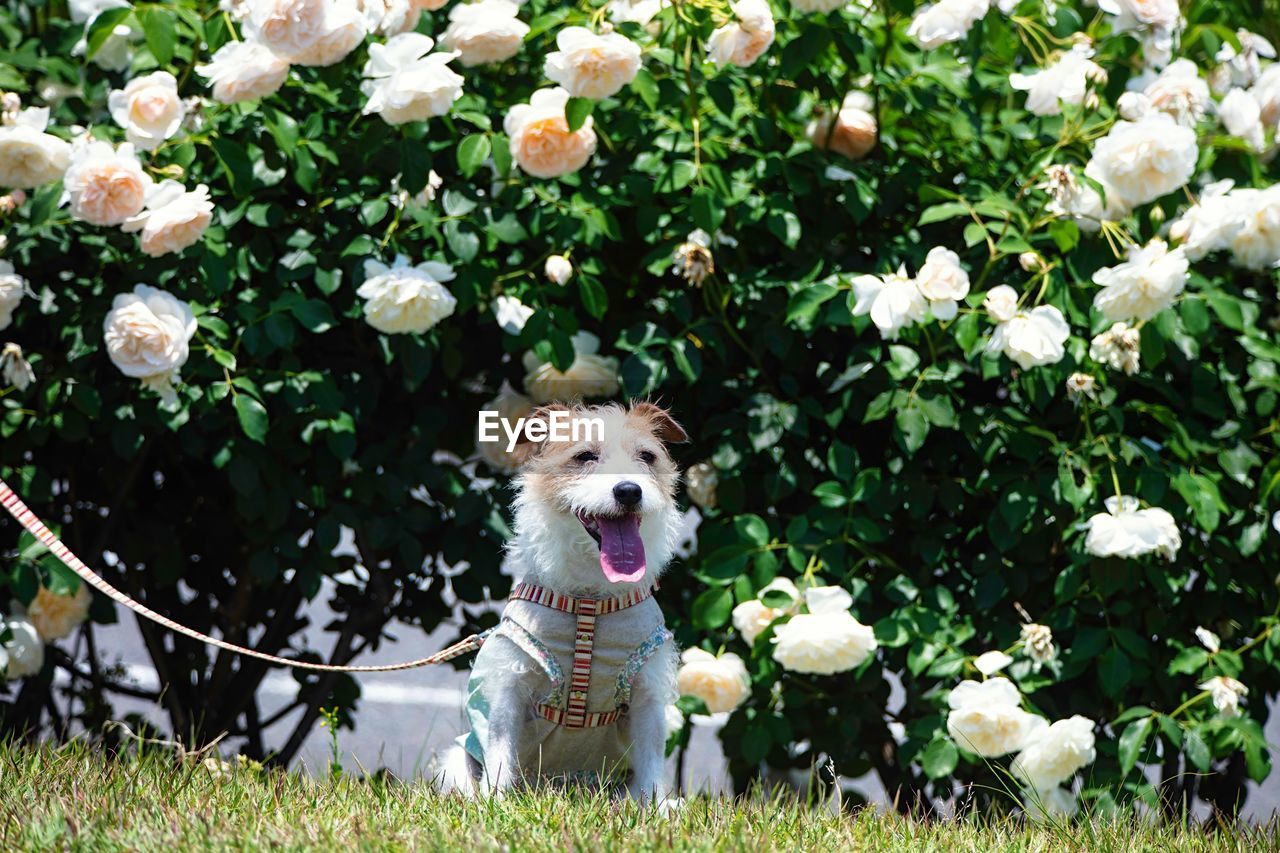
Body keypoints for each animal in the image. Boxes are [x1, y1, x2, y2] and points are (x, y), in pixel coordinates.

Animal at [442, 399, 691, 799]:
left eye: (647, 457)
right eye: (585, 456)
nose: (629, 490)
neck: (591, 600)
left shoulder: (648, 690)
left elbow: (652, 758)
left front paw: (657, 806)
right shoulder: (509, 685)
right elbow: (500, 746)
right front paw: (497, 802)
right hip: (456, 762)